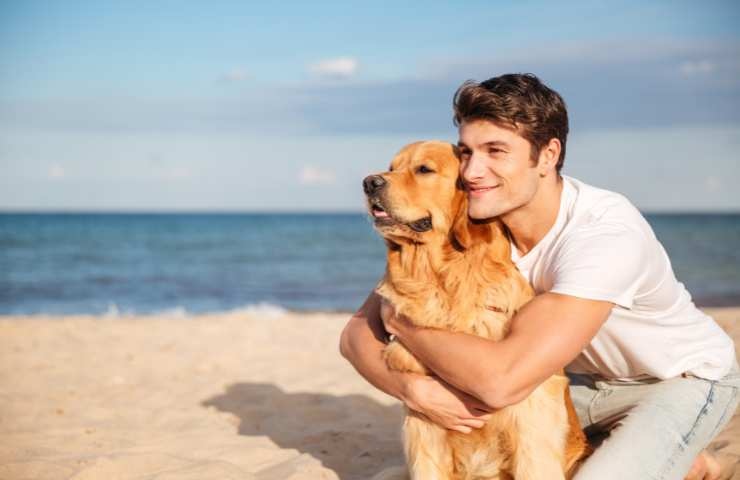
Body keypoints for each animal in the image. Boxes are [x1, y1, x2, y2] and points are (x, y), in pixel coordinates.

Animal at [364, 141, 588, 478]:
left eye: (424, 169)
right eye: (392, 167)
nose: (369, 183)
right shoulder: (423, 422)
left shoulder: (532, 416)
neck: (444, 280)